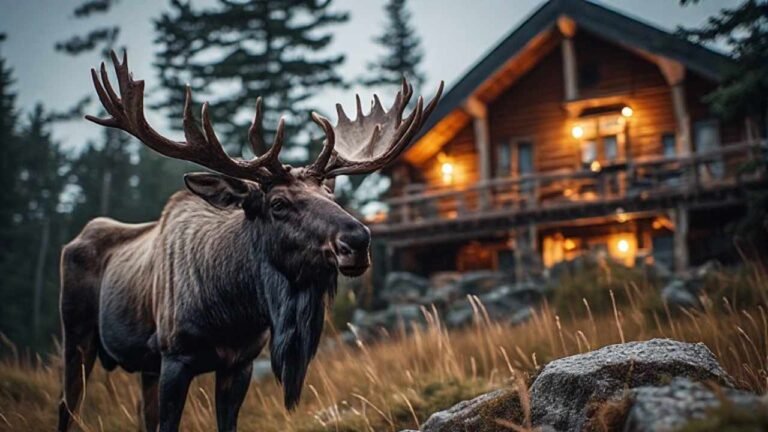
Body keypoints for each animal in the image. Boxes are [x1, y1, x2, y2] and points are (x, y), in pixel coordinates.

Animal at [56, 51, 442, 432]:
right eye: (278, 203)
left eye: (331, 195)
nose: (358, 240)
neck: (233, 310)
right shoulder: (175, 356)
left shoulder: (239, 363)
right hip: (77, 337)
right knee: (66, 407)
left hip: (144, 365)